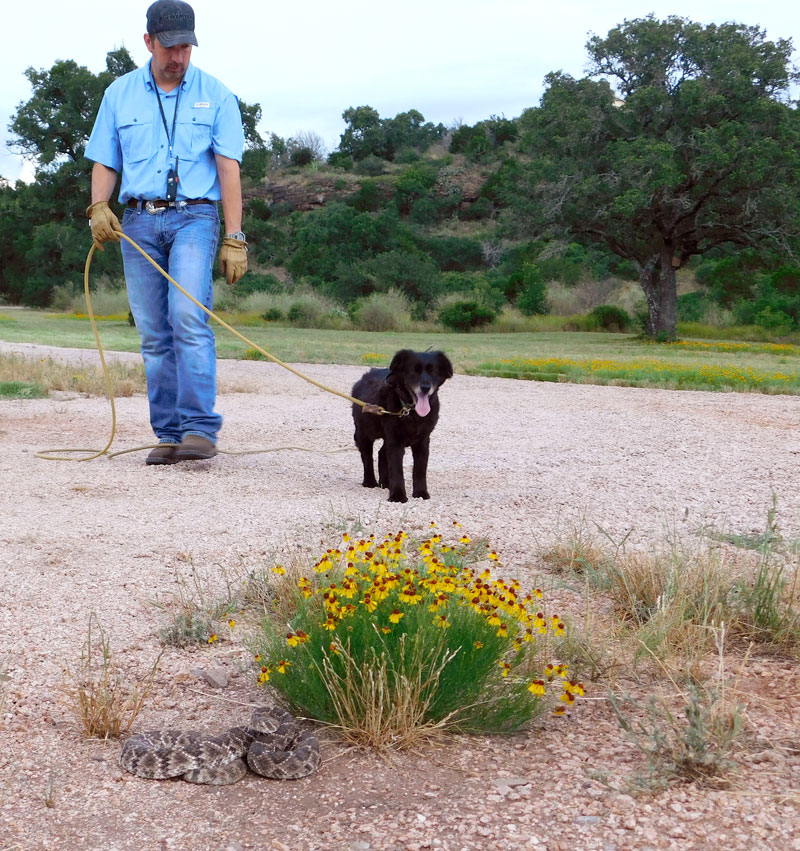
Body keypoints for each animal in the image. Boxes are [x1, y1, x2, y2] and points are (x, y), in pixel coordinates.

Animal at [352, 350, 454, 502]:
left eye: (433, 372)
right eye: (413, 371)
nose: (425, 388)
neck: (411, 412)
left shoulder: (423, 440)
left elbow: (420, 469)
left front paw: (421, 493)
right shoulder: (395, 441)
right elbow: (396, 469)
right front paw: (398, 495)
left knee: (381, 453)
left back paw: (385, 483)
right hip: (364, 433)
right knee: (367, 457)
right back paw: (370, 482)